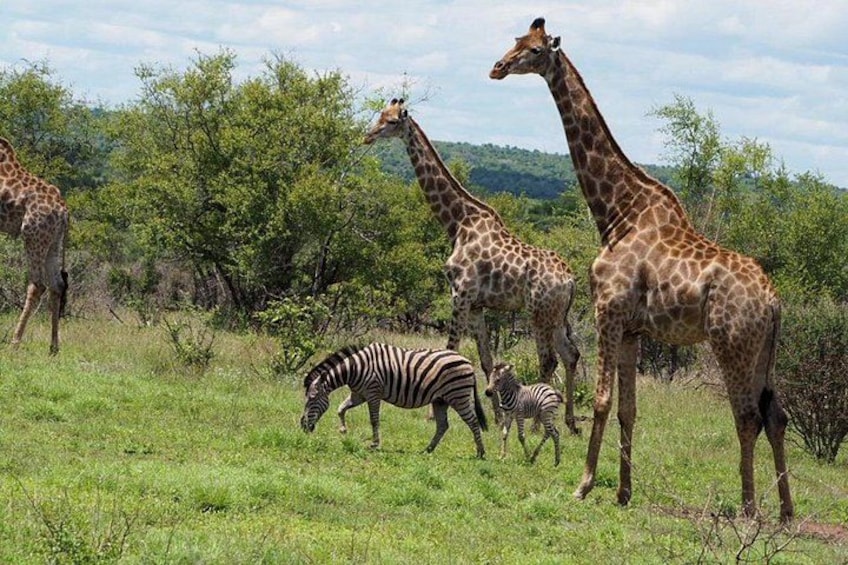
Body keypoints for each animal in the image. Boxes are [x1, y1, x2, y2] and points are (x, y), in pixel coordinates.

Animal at [0, 137, 69, 355]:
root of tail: (64, 212)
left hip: (33, 236)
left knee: (37, 285)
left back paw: (14, 342)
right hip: (53, 242)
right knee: (57, 285)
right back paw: (53, 347)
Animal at [300, 342, 488, 458]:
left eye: (311, 399)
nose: (303, 426)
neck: (355, 368)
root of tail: (468, 362)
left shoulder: (373, 393)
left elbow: (374, 420)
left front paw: (375, 444)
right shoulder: (358, 394)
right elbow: (340, 408)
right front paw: (343, 429)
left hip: (458, 396)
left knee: (472, 421)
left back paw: (480, 453)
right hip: (440, 400)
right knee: (443, 425)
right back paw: (427, 450)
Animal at [364, 98, 581, 432]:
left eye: (390, 122)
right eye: (380, 116)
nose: (368, 135)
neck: (457, 222)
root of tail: (570, 280)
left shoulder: (460, 293)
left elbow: (450, 349)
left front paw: (432, 412)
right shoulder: (478, 304)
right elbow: (486, 359)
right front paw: (496, 416)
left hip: (539, 312)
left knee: (549, 359)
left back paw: (536, 425)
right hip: (557, 315)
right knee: (570, 355)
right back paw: (570, 423)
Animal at [490, 18, 793, 522]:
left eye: (533, 50)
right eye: (515, 40)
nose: (496, 67)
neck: (617, 212)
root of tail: (773, 302)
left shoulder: (607, 312)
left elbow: (601, 400)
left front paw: (584, 485)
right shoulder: (632, 329)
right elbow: (628, 410)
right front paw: (623, 492)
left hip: (732, 344)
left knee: (746, 416)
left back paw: (750, 509)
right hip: (764, 350)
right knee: (776, 415)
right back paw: (786, 512)